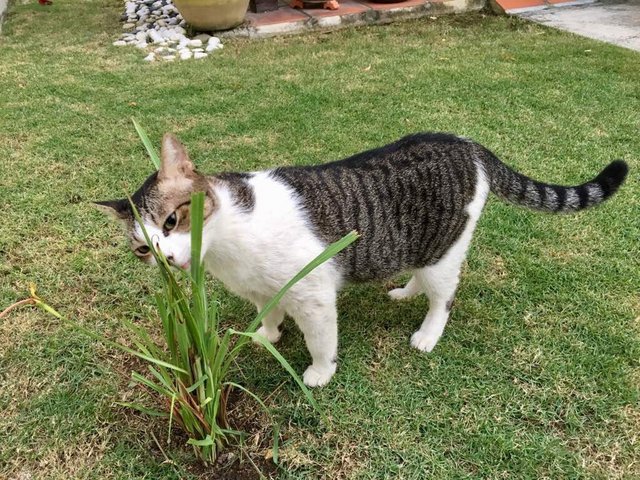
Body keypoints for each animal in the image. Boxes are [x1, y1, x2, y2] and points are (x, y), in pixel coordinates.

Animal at [97, 131, 628, 386]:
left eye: (171, 222)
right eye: (142, 248)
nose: (166, 258)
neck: (228, 244)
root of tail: (466, 144)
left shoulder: (312, 293)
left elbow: (320, 340)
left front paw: (319, 372)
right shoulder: (261, 290)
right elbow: (267, 312)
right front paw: (267, 335)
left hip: (443, 248)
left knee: (444, 297)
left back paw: (428, 333)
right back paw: (404, 290)